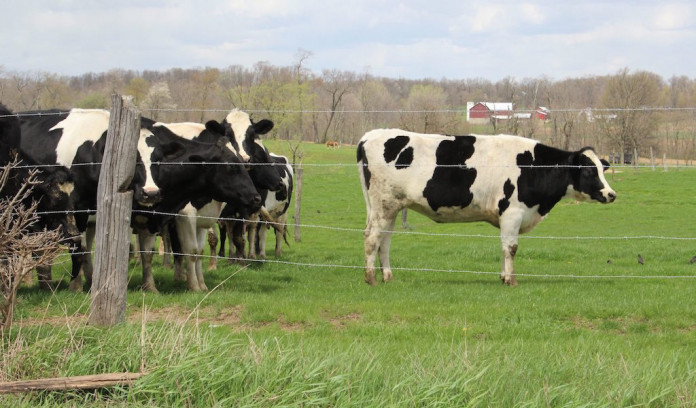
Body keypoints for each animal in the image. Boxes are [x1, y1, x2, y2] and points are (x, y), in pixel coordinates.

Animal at [356, 129, 616, 286]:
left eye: (602, 169)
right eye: (589, 171)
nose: (611, 194)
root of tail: (369, 136)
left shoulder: (506, 217)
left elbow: (503, 247)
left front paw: (503, 276)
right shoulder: (513, 212)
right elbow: (511, 248)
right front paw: (511, 280)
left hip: (390, 207)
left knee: (385, 241)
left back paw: (387, 276)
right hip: (382, 206)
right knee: (372, 237)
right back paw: (370, 278)